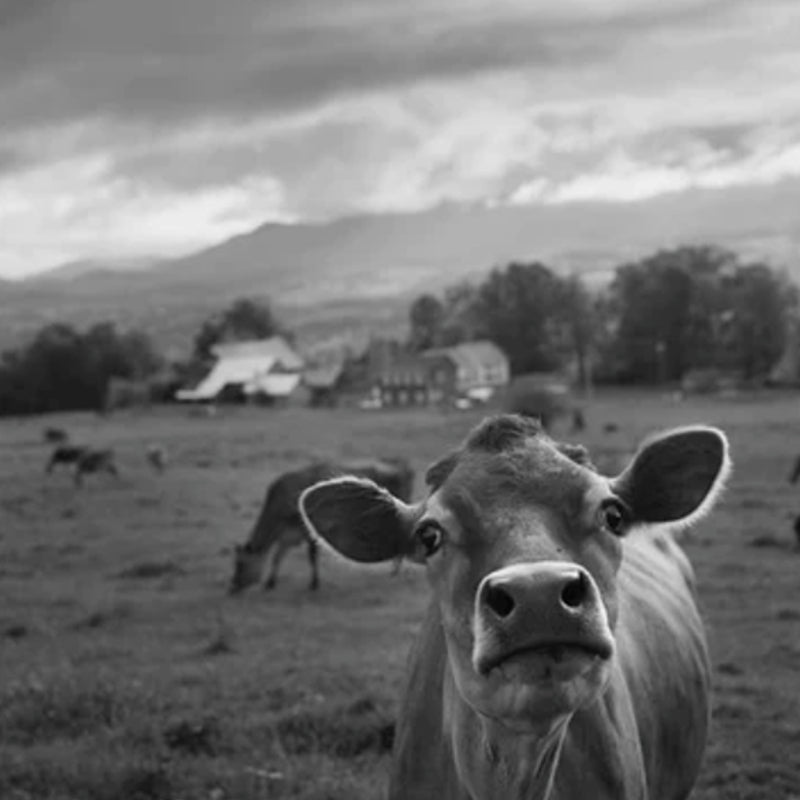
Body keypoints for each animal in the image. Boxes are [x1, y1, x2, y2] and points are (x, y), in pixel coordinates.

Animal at [229, 456, 415, 594]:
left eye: (240, 564)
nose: (233, 587)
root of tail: (402, 463)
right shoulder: (290, 533)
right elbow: (278, 555)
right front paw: (270, 582)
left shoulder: (305, 530)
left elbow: (311, 555)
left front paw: (314, 584)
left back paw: (394, 571)